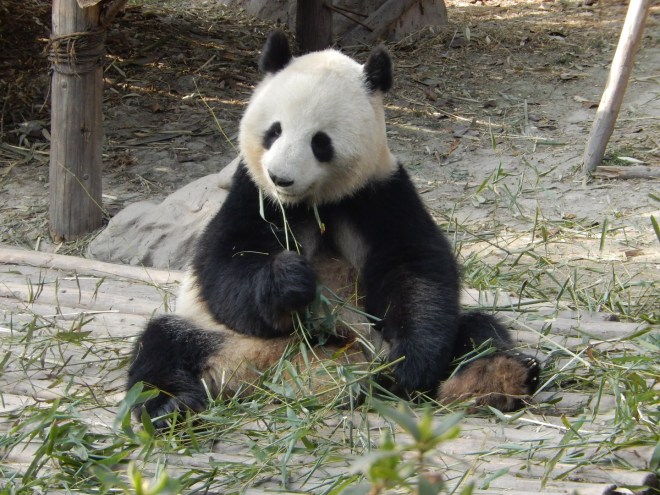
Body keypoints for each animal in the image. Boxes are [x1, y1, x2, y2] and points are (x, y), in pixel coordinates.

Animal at [127, 31, 540, 426]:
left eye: (320, 142)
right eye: (274, 131)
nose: (281, 177)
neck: (312, 201)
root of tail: (292, 373)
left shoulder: (379, 193)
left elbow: (414, 269)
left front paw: (410, 366)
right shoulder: (254, 195)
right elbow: (224, 265)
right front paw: (288, 280)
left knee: (478, 331)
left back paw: (495, 380)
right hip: (222, 338)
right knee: (162, 345)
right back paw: (169, 406)